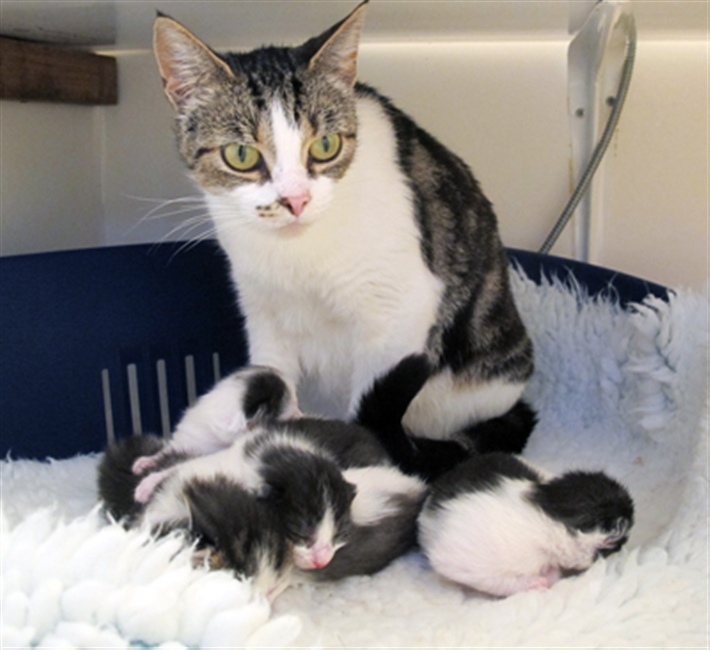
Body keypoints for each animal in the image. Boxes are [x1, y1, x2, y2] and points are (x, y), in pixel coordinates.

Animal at [153, 0, 536, 456]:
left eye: (325, 145)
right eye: (241, 154)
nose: (295, 200)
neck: (298, 253)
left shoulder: (398, 316)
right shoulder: (262, 310)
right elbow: (270, 373)